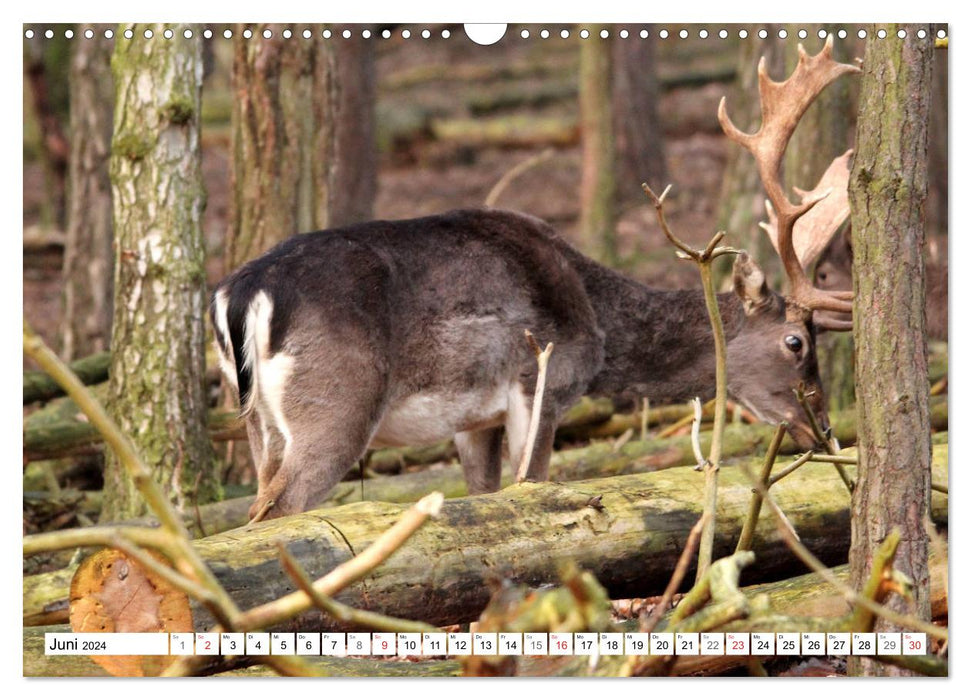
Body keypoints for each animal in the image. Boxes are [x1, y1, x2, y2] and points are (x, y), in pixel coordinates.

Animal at [211, 37, 860, 520]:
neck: (597, 322)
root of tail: (239, 295)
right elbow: (534, 490)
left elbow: (486, 497)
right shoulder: (543, 379)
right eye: (796, 342)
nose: (824, 429)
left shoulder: (475, 420)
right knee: (275, 512)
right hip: (336, 402)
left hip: (258, 420)